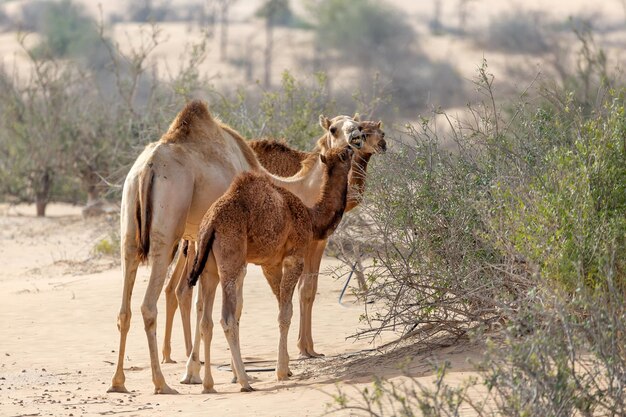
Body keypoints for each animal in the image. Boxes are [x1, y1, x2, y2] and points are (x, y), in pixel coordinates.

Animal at [186, 145, 356, 392]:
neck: (311, 217)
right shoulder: (295, 256)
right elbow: (285, 313)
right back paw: (245, 381)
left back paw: (208, 384)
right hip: (231, 259)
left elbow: (283, 307)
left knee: (205, 320)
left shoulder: (271, 264)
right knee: (227, 318)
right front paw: (281, 371)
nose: (351, 146)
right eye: (345, 154)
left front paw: (286, 366)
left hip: (209, 268)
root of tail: (210, 224)